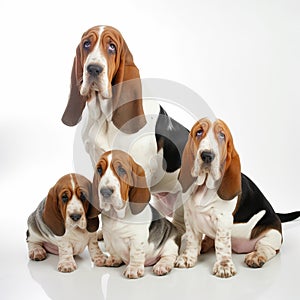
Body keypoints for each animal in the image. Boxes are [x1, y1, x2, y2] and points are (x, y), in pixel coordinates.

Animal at [92, 150, 179, 278]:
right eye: (99, 169)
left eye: (121, 170)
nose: (105, 192)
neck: (116, 215)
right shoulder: (108, 236)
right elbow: (113, 250)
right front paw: (113, 260)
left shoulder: (137, 238)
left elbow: (135, 254)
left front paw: (133, 269)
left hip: (170, 243)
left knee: (169, 256)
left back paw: (162, 266)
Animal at [176, 118, 300, 278]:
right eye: (199, 132)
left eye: (222, 135)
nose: (207, 155)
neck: (204, 187)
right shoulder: (190, 217)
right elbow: (192, 240)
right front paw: (187, 258)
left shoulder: (223, 220)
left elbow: (222, 244)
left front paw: (224, 266)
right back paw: (203, 245)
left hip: (272, 234)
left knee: (267, 248)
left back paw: (256, 257)